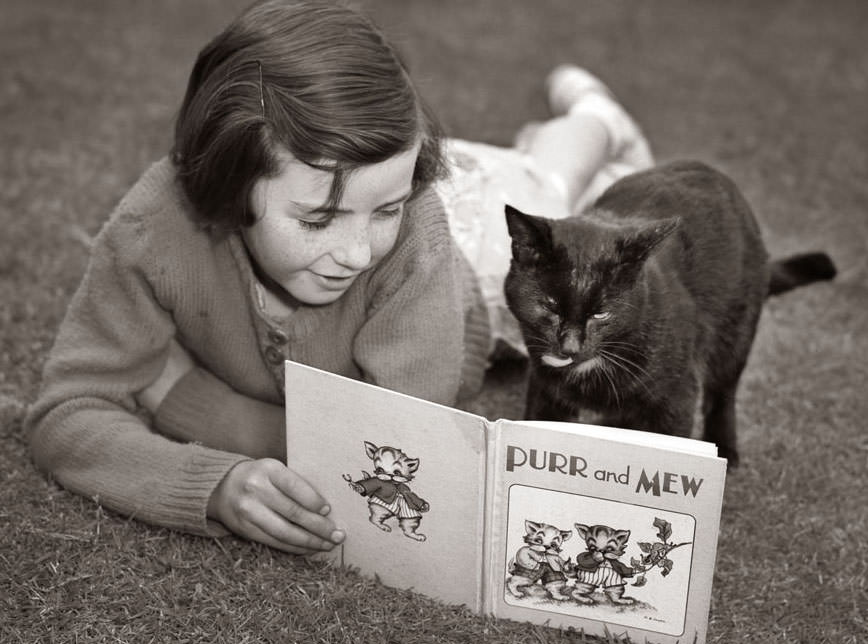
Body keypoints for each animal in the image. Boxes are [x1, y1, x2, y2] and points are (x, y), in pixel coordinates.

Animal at [506, 159, 836, 466]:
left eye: (601, 314)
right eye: (550, 305)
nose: (570, 346)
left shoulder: (676, 395)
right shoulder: (545, 388)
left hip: (736, 327)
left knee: (723, 391)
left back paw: (725, 448)